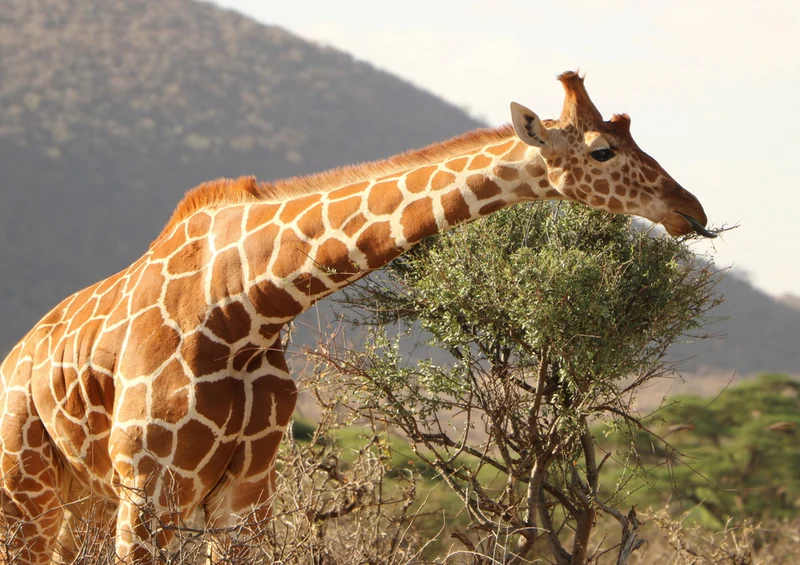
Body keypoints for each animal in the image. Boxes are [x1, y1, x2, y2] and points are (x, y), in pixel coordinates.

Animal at [0, 71, 715, 563]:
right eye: (601, 151)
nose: (693, 208)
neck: (246, 306)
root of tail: (17, 358)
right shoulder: (151, 483)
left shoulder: (246, 488)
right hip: (27, 489)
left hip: (86, 498)